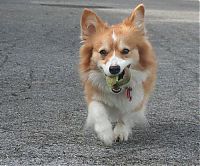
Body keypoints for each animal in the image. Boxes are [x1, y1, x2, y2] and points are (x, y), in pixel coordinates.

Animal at [79, 3, 157, 145]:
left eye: (125, 51)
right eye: (103, 52)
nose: (114, 69)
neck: (116, 91)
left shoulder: (137, 98)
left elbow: (126, 115)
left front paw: (120, 131)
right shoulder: (92, 93)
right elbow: (98, 111)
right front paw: (105, 133)